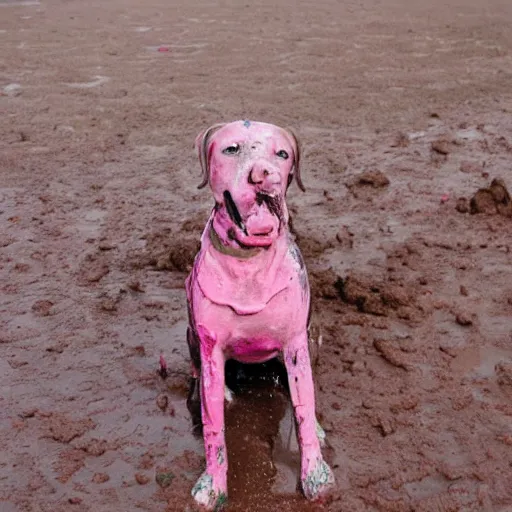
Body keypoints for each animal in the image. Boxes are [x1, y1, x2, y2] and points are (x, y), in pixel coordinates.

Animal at [186, 119, 334, 508]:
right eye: (232, 149)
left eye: (282, 154)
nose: (263, 176)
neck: (249, 262)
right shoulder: (210, 347)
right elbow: (215, 433)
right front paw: (213, 485)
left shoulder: (296, 344)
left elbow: (303, 411)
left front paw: (315, 476)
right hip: (191, 338)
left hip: (311, 339)